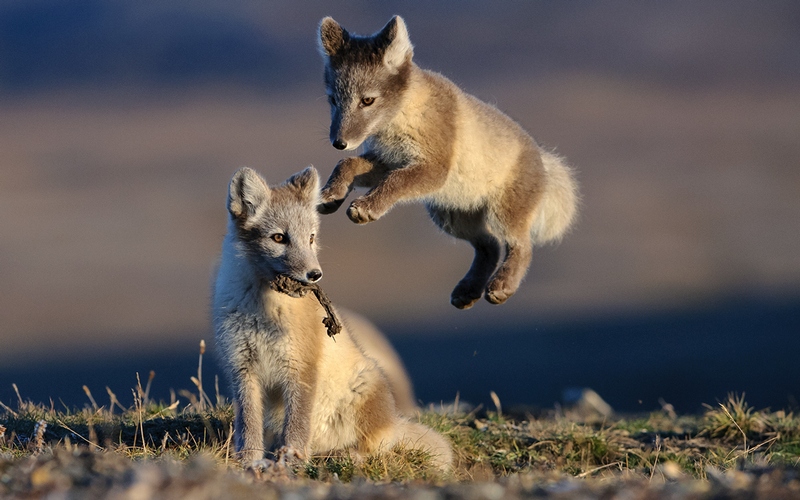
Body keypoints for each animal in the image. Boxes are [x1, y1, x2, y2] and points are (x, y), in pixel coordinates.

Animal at [211, 167, 450, 468]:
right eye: (278, 238)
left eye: (311, 238)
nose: (315, 275)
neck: (262, 308)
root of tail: (395, 422)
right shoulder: (242, 368)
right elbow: (248, 424)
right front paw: (250, 461)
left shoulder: (301, 366)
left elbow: (297, 424)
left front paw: (292, 460)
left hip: (367, 391)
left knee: (375, 449)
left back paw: (343, 456)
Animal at [316, 14, 580, 308]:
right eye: (333, 99)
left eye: (367, 100)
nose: (338, 142)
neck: (404, 116)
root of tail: (543, 158)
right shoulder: (388, 159)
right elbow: (347, 164)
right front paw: (330, 194)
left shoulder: (433, 168)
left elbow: (395, 181)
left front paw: (366, 207)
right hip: (452, 217)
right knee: (490, 245)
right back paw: (468, 290)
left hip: (503, 214)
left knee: (522, 246)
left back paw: (502, 286)